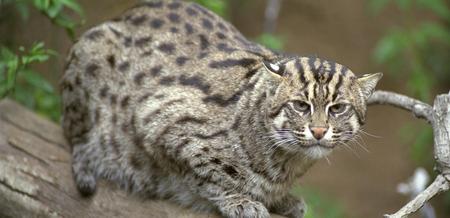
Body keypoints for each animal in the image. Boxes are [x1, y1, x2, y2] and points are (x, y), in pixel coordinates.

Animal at [60, 0, 384, 217]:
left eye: (338, 108)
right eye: (300, 106)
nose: (318, 131)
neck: (287, 161)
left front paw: (281, 199)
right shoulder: (158, 122)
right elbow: (206, 174)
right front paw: (240, 200)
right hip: (92, 49)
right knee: (73, 132)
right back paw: (88, 159)